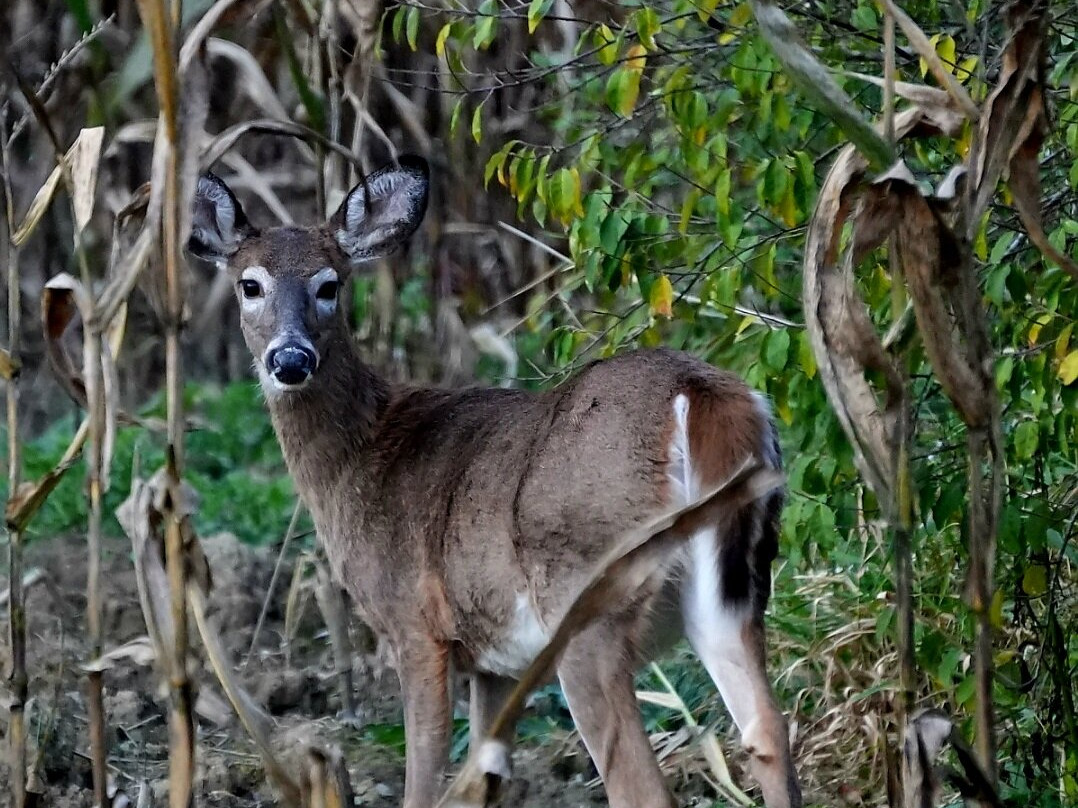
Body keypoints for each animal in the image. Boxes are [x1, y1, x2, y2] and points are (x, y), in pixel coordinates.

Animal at [189, 156, 806, 808]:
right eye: (249, 284)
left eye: (329, 284)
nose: (290, 359)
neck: (364, 458)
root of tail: (701, 396)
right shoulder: (493, 658)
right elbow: (481, 782)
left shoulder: (415, 625)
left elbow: (422, 782)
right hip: (736, 588)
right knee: (767, 732)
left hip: (589, 602)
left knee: (640, 784)